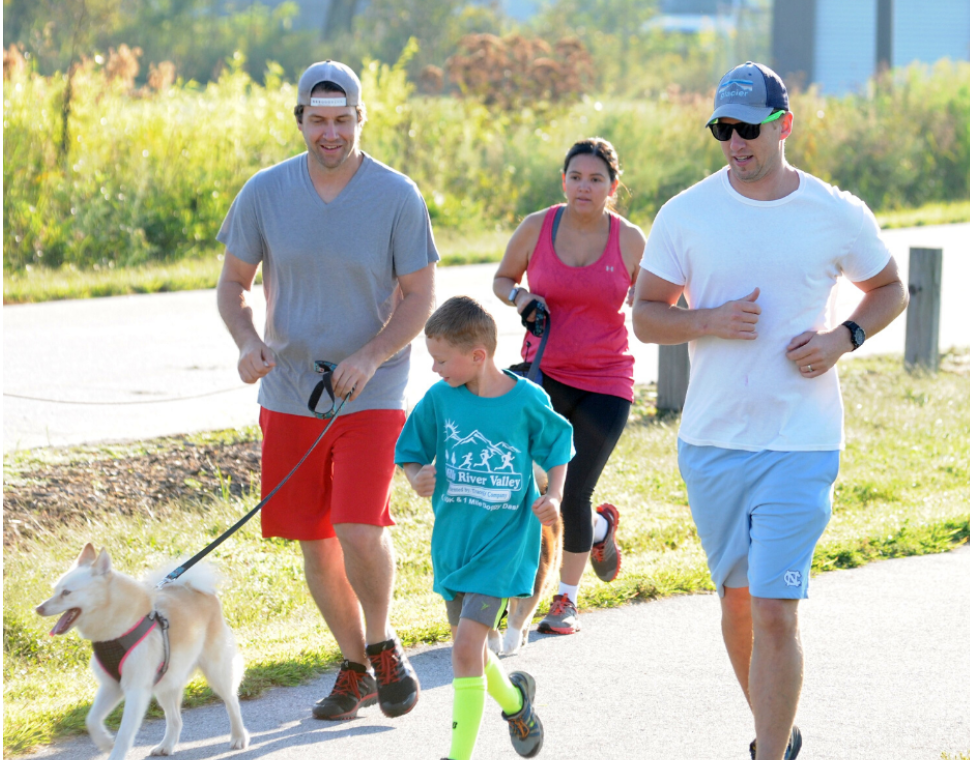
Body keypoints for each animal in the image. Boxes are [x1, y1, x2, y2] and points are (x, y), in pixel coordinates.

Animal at [36, 548, 250, 760]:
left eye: (66, 592)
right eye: (55, 590)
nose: (38, 608)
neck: (114, 634)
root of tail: (199, 590)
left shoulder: (136, 690)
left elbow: (124, 734)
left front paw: (115, 752)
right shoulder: (111, 686)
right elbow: (92, 720)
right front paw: (105, 742)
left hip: (217, 672)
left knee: (232, 702)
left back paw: (239, 737)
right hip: (166, 684)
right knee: (176, 719)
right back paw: (166, 746)